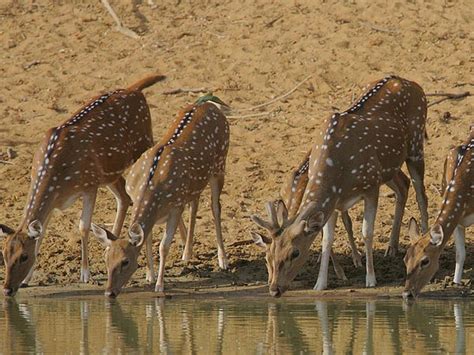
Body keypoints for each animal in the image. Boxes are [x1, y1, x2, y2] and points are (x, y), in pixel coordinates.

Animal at [0, 75, 166, 298]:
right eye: (4, 254)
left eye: (24, 256)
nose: (7, 289)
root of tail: (135, 89)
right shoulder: (57, 200)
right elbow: (42, 232)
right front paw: (27, 280)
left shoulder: (89, 185)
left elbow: (83, 226)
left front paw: (85, 274)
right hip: (110, 173)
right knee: (124, 197)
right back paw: (110, 245)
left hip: (143, 146)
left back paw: (149, 273)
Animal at [90, 94, 231, 298]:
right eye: (106, 258)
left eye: (125, 261)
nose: (109, 293)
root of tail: (209, 104)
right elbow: (148, 240)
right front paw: (149, 276)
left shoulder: (176, 206)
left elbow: (163, 246)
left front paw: (160, 285)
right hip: (196, 183)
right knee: (195, 203)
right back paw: (186, 254)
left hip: (220, 165)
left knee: (215, 208)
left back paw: (223, 261)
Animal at [252, 76, 430, 298]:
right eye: (268, 255)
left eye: (295, 252)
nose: (274, 289)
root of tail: (411, 83)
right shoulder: (335, 201)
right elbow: (327, 240)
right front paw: (320, 284)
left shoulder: (371, 185)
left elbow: (367, 232)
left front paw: (370, 279)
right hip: (390, 166)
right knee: (404, 185)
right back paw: (391, 248)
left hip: (415, 146)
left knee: (421, 194)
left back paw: (425, 239)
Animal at [404, 129, 474, 300]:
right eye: (405, 259)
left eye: (425, 261)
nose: (407, 293)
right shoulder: (459, 221)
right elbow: (460, 254)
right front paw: (456, 283)